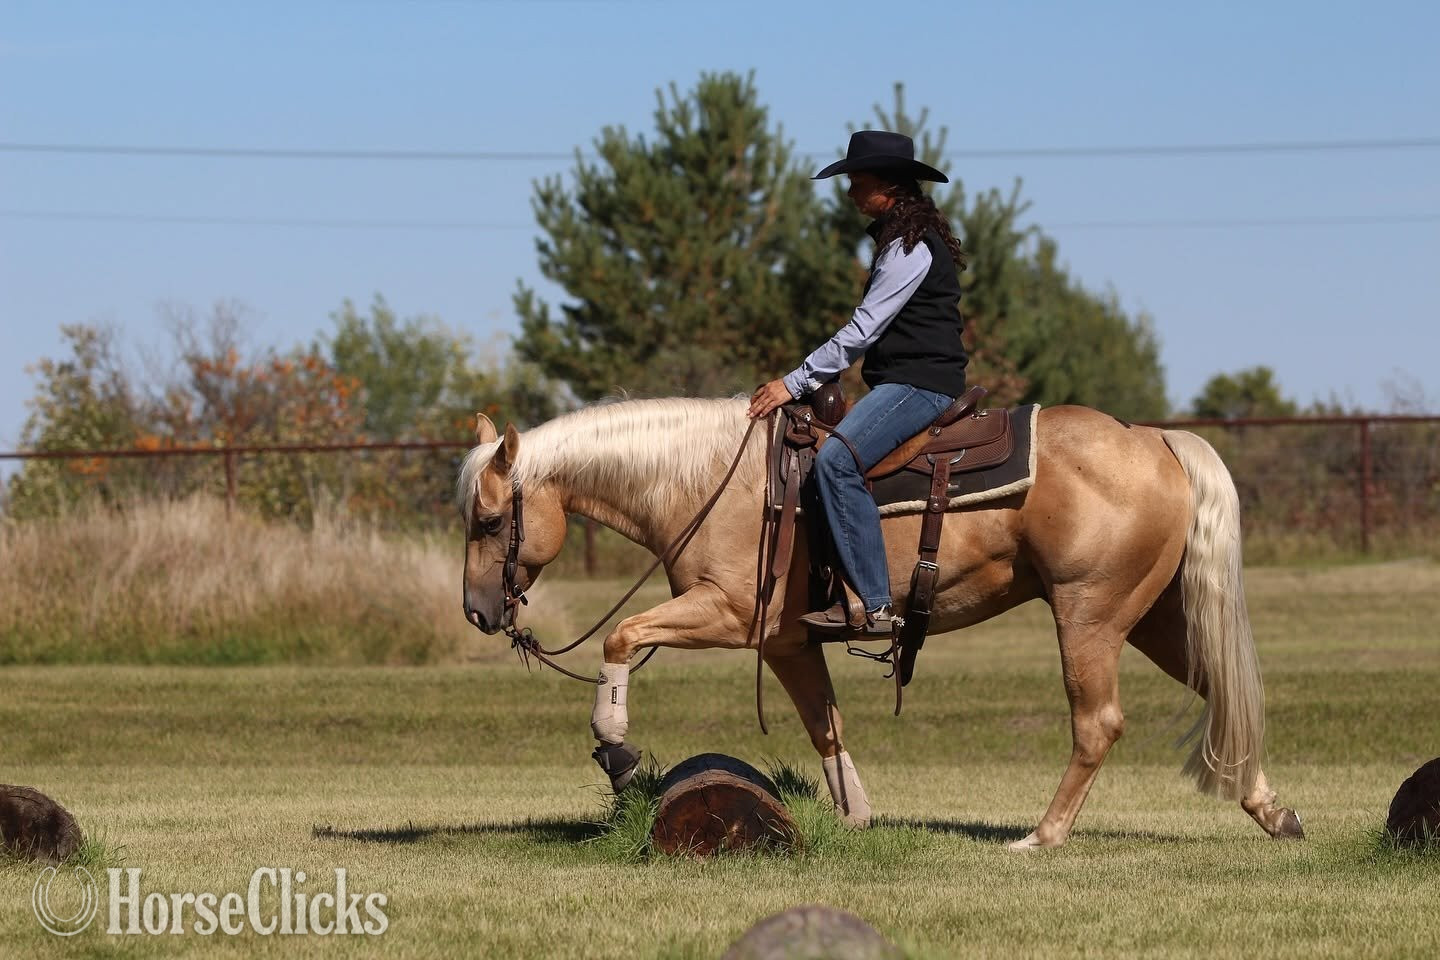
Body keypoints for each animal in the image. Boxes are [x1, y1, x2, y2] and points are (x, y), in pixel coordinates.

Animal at [456, 396, 1304, 850]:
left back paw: (1043, 835)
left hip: (1087, 614)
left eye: (490, 520)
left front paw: (617, 748)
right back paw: (1273, 812)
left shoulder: (726, 613)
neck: (705, 479)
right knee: (1224, 694)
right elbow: (825, 727)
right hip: (1156, 617)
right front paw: (858, 815)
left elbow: (621, 636)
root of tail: (1153, 437)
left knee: (1098, 723)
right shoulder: (787, 642)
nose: (477, 611)